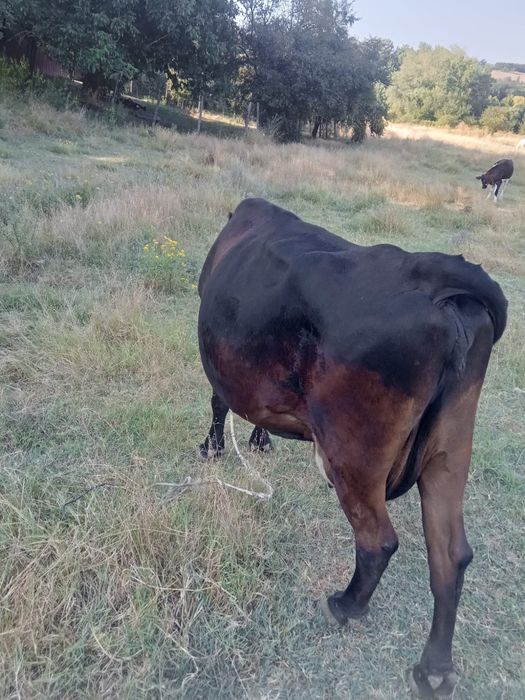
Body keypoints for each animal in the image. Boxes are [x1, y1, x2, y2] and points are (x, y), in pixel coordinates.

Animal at [197, 198, 507, 699]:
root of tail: (433, 274)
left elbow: (219, 402)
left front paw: (213, 449)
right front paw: (260, 441)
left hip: (354, 454)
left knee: (377, 541)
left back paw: (344, 606)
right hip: (450, 449)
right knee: (451, 554)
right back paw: (434, 670)